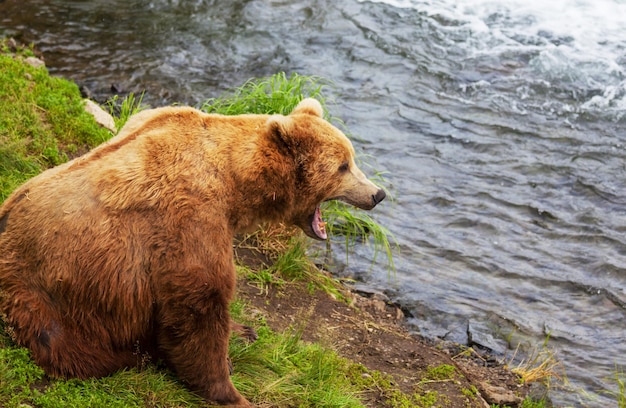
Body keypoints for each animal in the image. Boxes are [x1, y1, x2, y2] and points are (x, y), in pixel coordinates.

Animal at [0, 98, 382, 404]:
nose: (378, 194)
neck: (235, 183)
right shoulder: (189, 216)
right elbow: (198, 304)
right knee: (75, 351)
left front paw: (242, 331)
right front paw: (231, 392)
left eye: (352, 158)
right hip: (56, 300)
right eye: (343, 166)